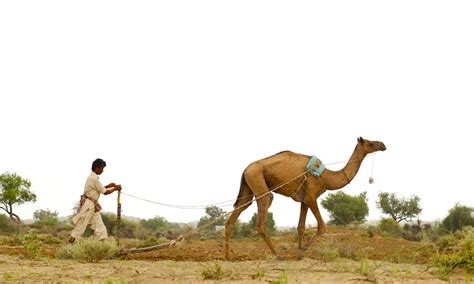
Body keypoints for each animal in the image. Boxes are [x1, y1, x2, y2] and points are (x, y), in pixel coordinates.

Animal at [225, 137, 386, 260]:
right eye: (370, 142)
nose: (382, 145)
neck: (327, 178)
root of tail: (245, 169)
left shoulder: (304, 200)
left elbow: (301, 226)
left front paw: (299, 253)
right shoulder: (311, 197)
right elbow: (322, 226)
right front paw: (302, 251)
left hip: (248, 187)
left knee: (235, 214)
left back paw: (228, 256)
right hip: (258, 181)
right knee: (261, 219)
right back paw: (278, 255)